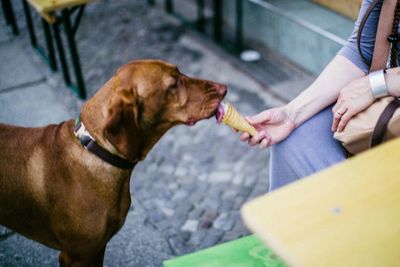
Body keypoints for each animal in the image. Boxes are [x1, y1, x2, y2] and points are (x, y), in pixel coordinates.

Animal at [0, 59, 225, 266]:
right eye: (173, 84)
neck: (96, 150)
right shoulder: (75, 256)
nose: (223, 88)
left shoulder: (98, 249)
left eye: (179, 71)